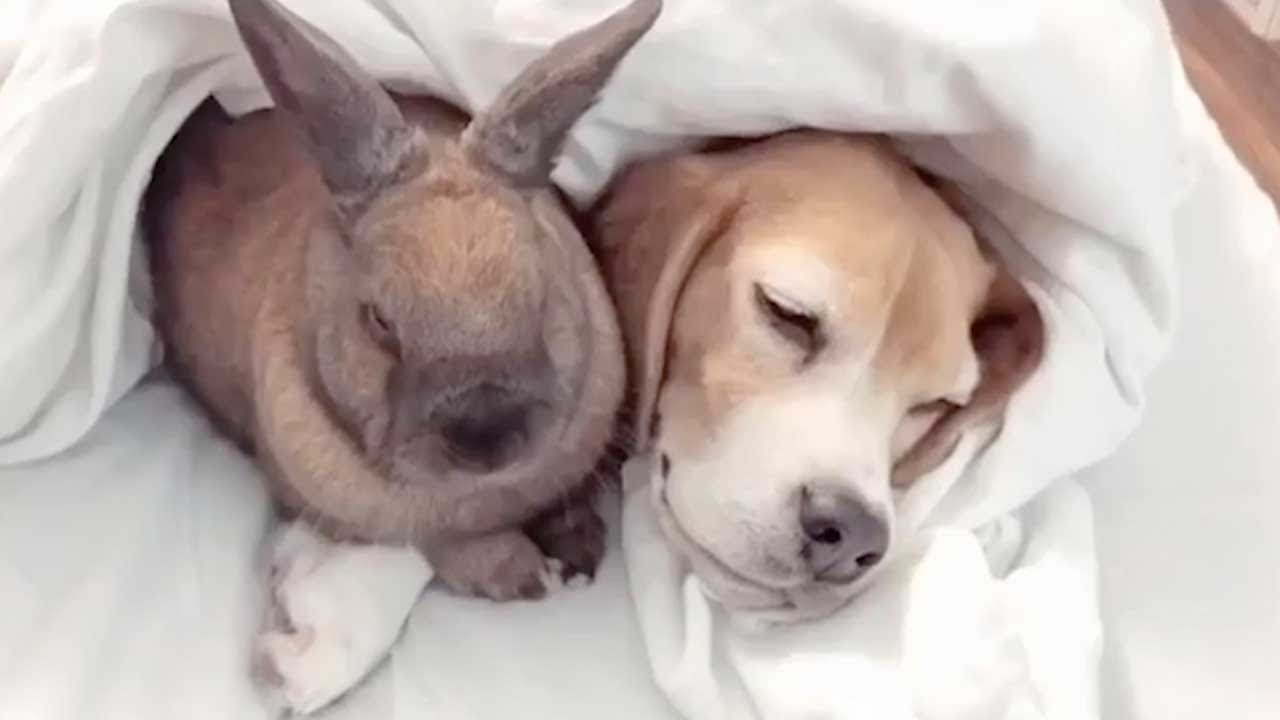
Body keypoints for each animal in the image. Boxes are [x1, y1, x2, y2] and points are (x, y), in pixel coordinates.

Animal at [142, 0, 660, 603]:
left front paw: (577, 553)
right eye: (379, 320)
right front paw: (527, 576)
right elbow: (451, 547)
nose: (487, 436)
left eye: (542, 290)